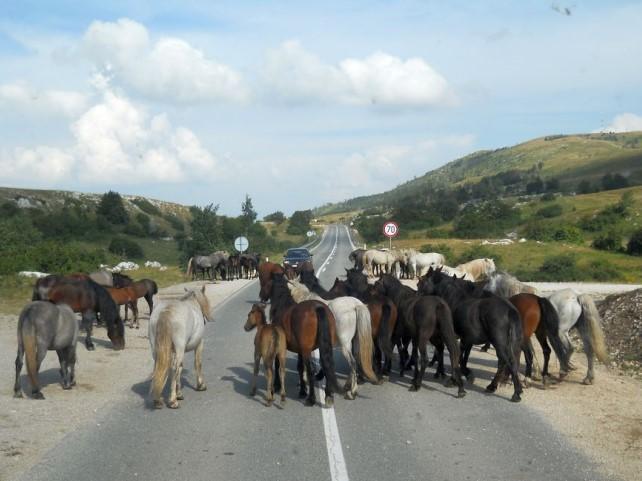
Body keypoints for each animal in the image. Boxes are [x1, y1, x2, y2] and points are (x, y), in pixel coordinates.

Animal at [268, 270, 342, 404]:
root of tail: (318, 308)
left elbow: (277, 364)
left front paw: (276, 385)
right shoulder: (300, 350)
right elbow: (300, 367)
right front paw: (302, 390)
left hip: (307, 350)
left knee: (311, 370)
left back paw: (311, 399)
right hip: (323, 347)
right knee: (327, 365)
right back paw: (328, 395)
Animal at [418, 270, 524, 402]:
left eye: (422, 282)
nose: (417, 295)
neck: (454, 301)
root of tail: (510, 311)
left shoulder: (454, 337)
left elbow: (456, 356)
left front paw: (456, 378)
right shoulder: (466, 339)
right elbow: (461, 357)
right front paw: (460, 376)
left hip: (499, 343)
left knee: (507, 362)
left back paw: (514, 393)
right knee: (507, 363)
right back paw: (495, 386)